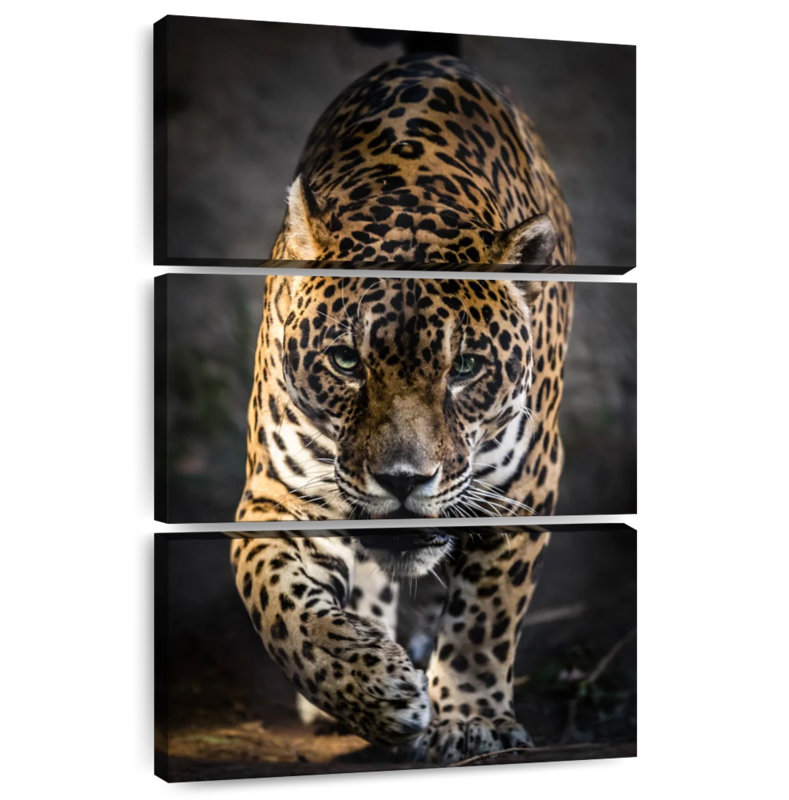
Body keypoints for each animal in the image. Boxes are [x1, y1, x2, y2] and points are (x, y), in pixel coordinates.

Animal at [231, 52, 575, 763]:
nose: (402, 480)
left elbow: (486, 615)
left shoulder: (526, 484)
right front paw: (371, 688)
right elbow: (277, 602)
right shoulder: (277, 495)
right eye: (345, 361)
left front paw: (471, 719)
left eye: (465, 368)